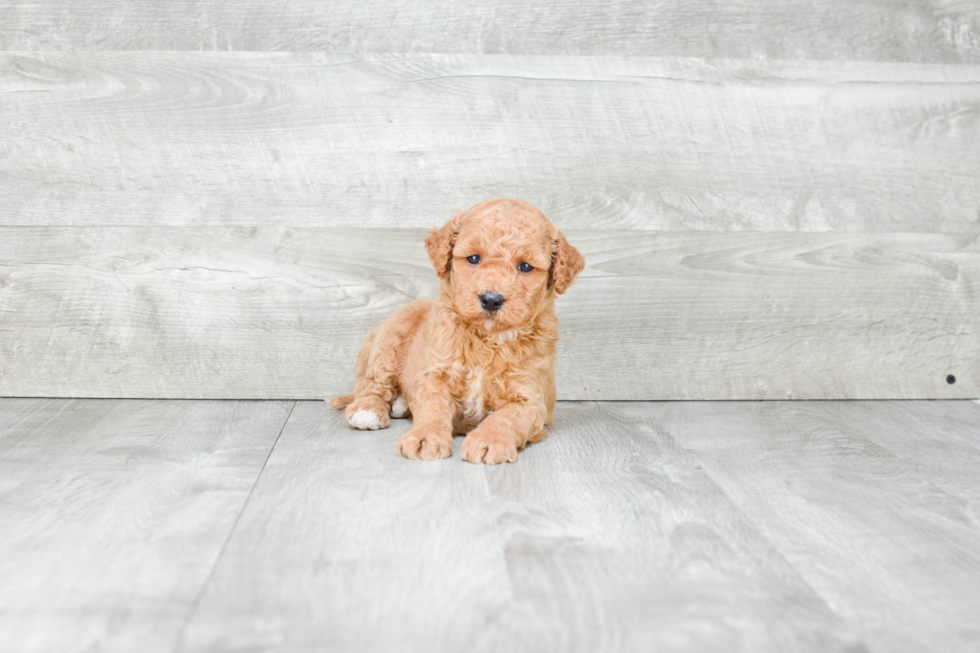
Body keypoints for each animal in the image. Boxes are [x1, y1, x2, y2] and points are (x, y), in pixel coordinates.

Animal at [334, 196, 584, 460]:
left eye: (525, 266)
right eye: (474, 258)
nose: (491, 299)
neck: (488, 339)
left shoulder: (530, 398)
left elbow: (508, 417)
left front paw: (489, 439)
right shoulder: (436, 374)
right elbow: (433, 406)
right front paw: (425, 436)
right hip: (389, 341)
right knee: (374, 383)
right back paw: (368, 410)